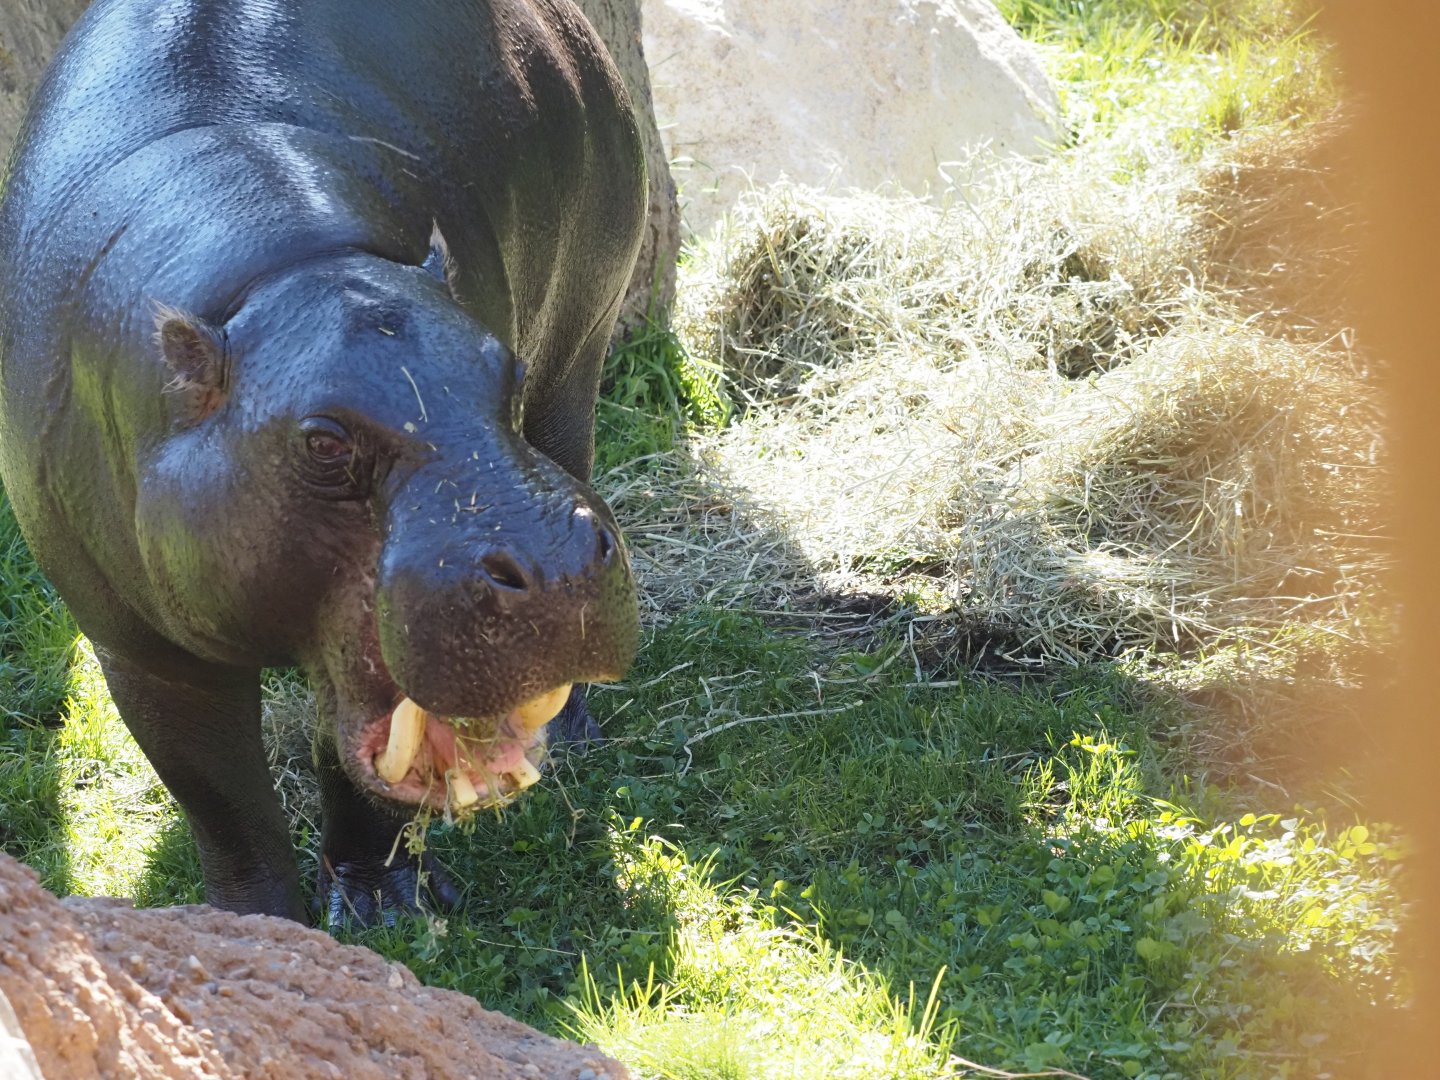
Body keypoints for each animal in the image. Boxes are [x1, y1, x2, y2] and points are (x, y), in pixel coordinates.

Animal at [0, 0, 644, 923]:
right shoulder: (141, 651)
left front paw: (381, 909)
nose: (556, 563)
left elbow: (357, 781)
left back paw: (572, 731)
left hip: (581, 350)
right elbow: (223, 801)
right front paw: (256, 927)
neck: (282, 263)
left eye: (506, 371)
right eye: (323, 443)